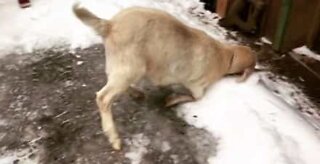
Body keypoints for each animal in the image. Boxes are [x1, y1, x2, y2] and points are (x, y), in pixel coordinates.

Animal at [73, 3, 258, 150]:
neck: (225, 55)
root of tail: (110, 25)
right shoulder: (197, 85)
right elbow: (195, 98)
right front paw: (171, 100)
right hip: (131, 65)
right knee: (103, 97)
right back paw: (114, 138)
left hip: (121, 64)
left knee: (114, 82)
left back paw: (136, 93)